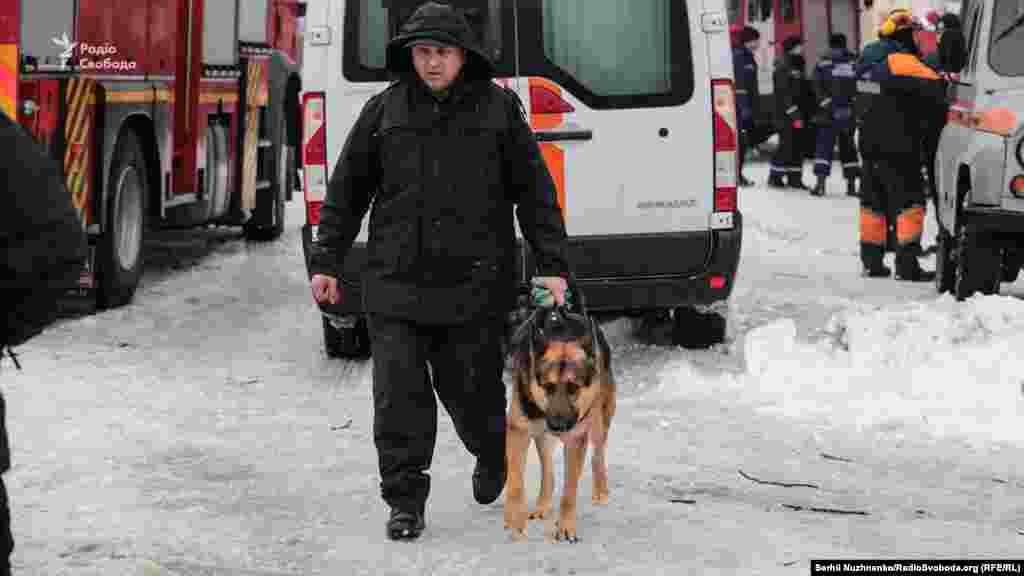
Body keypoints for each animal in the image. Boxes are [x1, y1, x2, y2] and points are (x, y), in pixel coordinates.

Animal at [503, 305, 614, 537]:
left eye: (573, 388)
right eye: (548, 386)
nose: (557, 426)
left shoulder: (576, 437)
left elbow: (569, 489)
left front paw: (565, 526)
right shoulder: (518, 430)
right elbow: (515, 479)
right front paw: (515, 515)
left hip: (600, 419)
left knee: (597, 454)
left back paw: (601, 490)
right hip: (542, 436)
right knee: (548, 471)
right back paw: (542, 505)